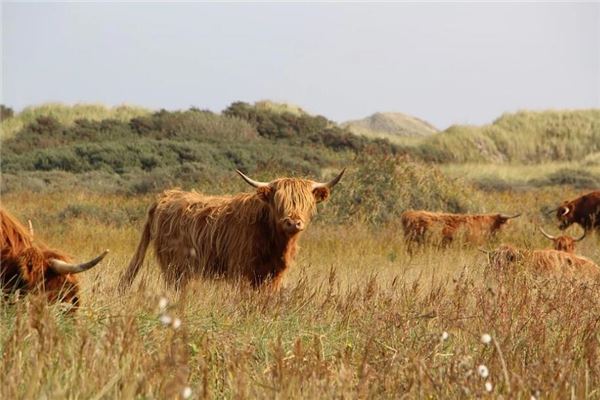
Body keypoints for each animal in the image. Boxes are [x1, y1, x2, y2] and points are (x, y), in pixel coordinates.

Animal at [118, 167, 342, 292]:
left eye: (306, 203)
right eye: (279, 202)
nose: (293, 222)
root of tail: (165, 196)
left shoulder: (274, 275)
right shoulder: (241, 271)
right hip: (176, 266)